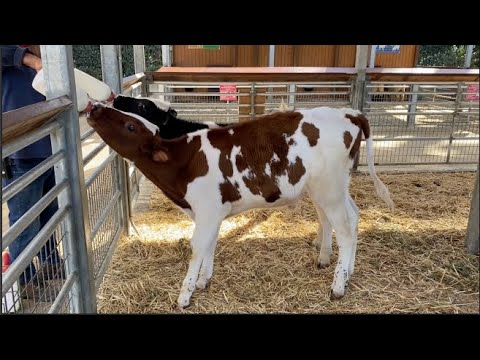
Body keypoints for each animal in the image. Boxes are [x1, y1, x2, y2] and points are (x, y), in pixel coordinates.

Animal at [86, 102, 394, 308]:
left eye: (130, 125)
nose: (95, 107)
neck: (184, 160)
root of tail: (349, 112)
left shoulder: (207, 210)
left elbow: (197, 248)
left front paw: (185, 295)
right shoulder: (210, 213)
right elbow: (210, 244)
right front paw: (204, 280)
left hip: (328, 189)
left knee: (345, 230)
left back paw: (338, 285)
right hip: (336, 188)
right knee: (354, 217)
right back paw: (348, 272)